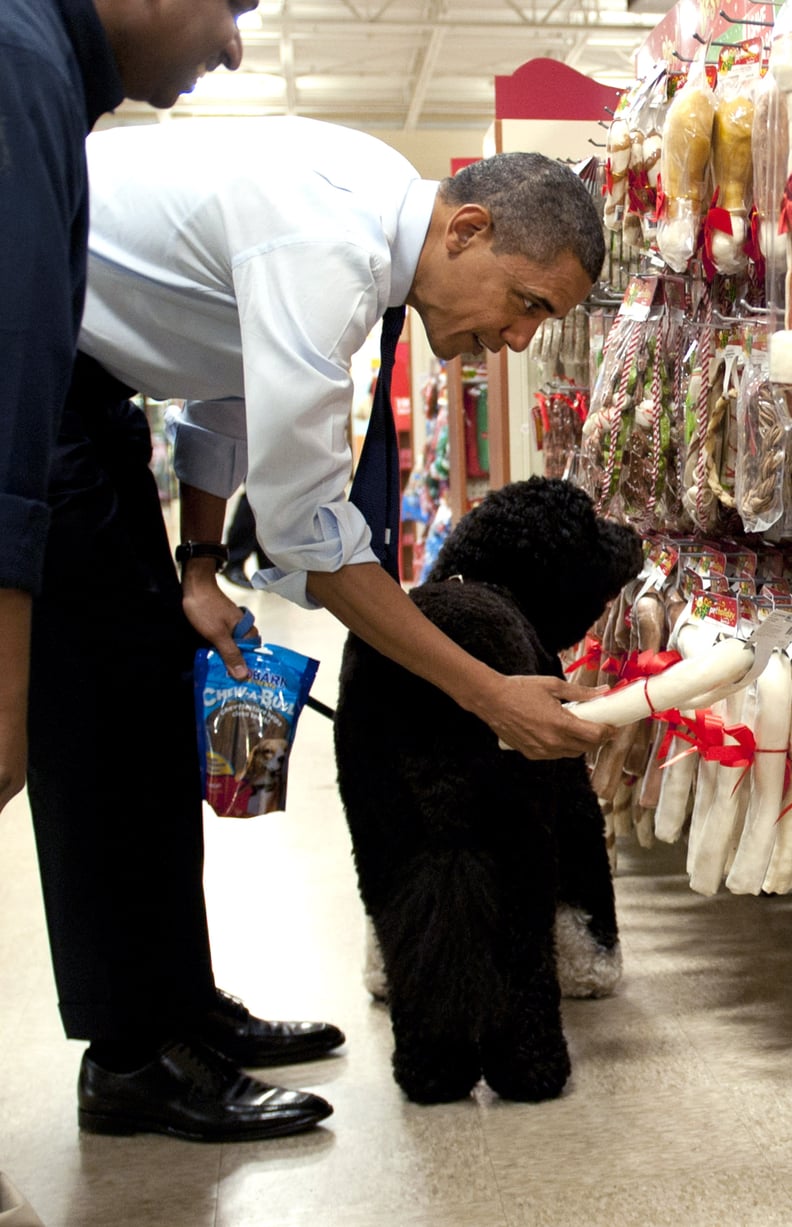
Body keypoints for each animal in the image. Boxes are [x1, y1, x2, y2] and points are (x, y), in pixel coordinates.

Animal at [333, 476, 643, 1104]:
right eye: (588, 525)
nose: (635, 534)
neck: (481, 573)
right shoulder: (571, 799)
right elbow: (587, 900)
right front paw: (593, 973)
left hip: (382, 827)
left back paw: (431, 1071)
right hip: (520, 833)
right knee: (523, 951)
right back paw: (533, 1068)